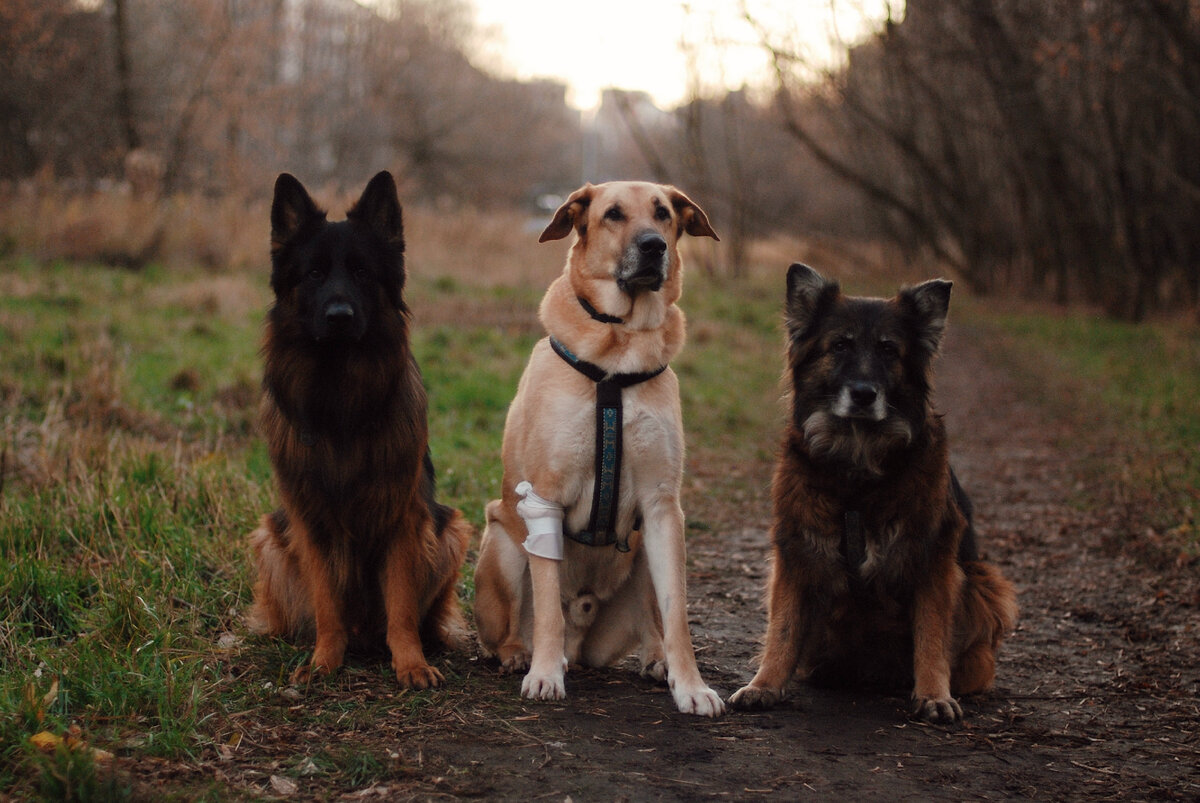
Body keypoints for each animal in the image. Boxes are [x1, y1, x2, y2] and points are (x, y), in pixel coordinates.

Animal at [247, 172, 468, 686]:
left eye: (363, 273)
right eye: (313, 274)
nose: (339, 316)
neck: (339, 398)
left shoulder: (402, 519)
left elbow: (401, 605)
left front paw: (411, 663)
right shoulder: (310, 520)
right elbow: (326, 600)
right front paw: (324, 660)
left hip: (452, 531)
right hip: (269, 538)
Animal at [472, 180, 720, 715]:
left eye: (663, 213)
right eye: (613, 214)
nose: (654, 246)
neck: (620, 347)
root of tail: (583, 630)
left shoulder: (663, 506)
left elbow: (677, 615)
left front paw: (691, 686)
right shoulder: (543, 498)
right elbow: (547, 607)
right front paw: (545, 674)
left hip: (643, 553)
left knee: (651, 618)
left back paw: (655, 659)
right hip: (503, 544)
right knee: (515, 623)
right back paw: (519, 654)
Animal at [724, 262, 1017, 720]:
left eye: (888, 350)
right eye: (840, 345)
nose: (863, 394)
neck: (857, 465)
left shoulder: (933, 555)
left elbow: (932, 632)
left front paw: (934, 694)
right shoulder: (795, 547)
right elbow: (783, 628)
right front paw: (765, 684)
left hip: (985, 583)